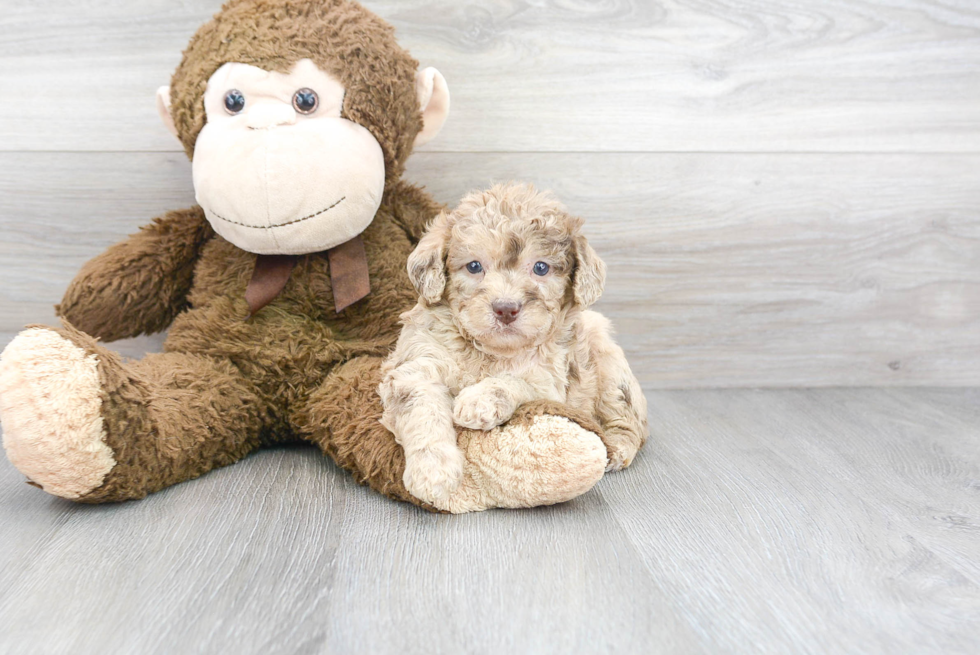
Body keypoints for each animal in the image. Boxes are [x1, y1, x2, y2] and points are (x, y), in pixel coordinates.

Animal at [382, 182, 652, 504]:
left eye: (541, 268)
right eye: (474, 266)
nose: (506, 309)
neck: (490, 351)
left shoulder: (548, 380)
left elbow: (513, 381)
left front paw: (480, 399)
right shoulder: (417, 363)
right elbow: (424, 410)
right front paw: (433, 472)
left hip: (609, 364)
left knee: (629, 420)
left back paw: (617, 447)